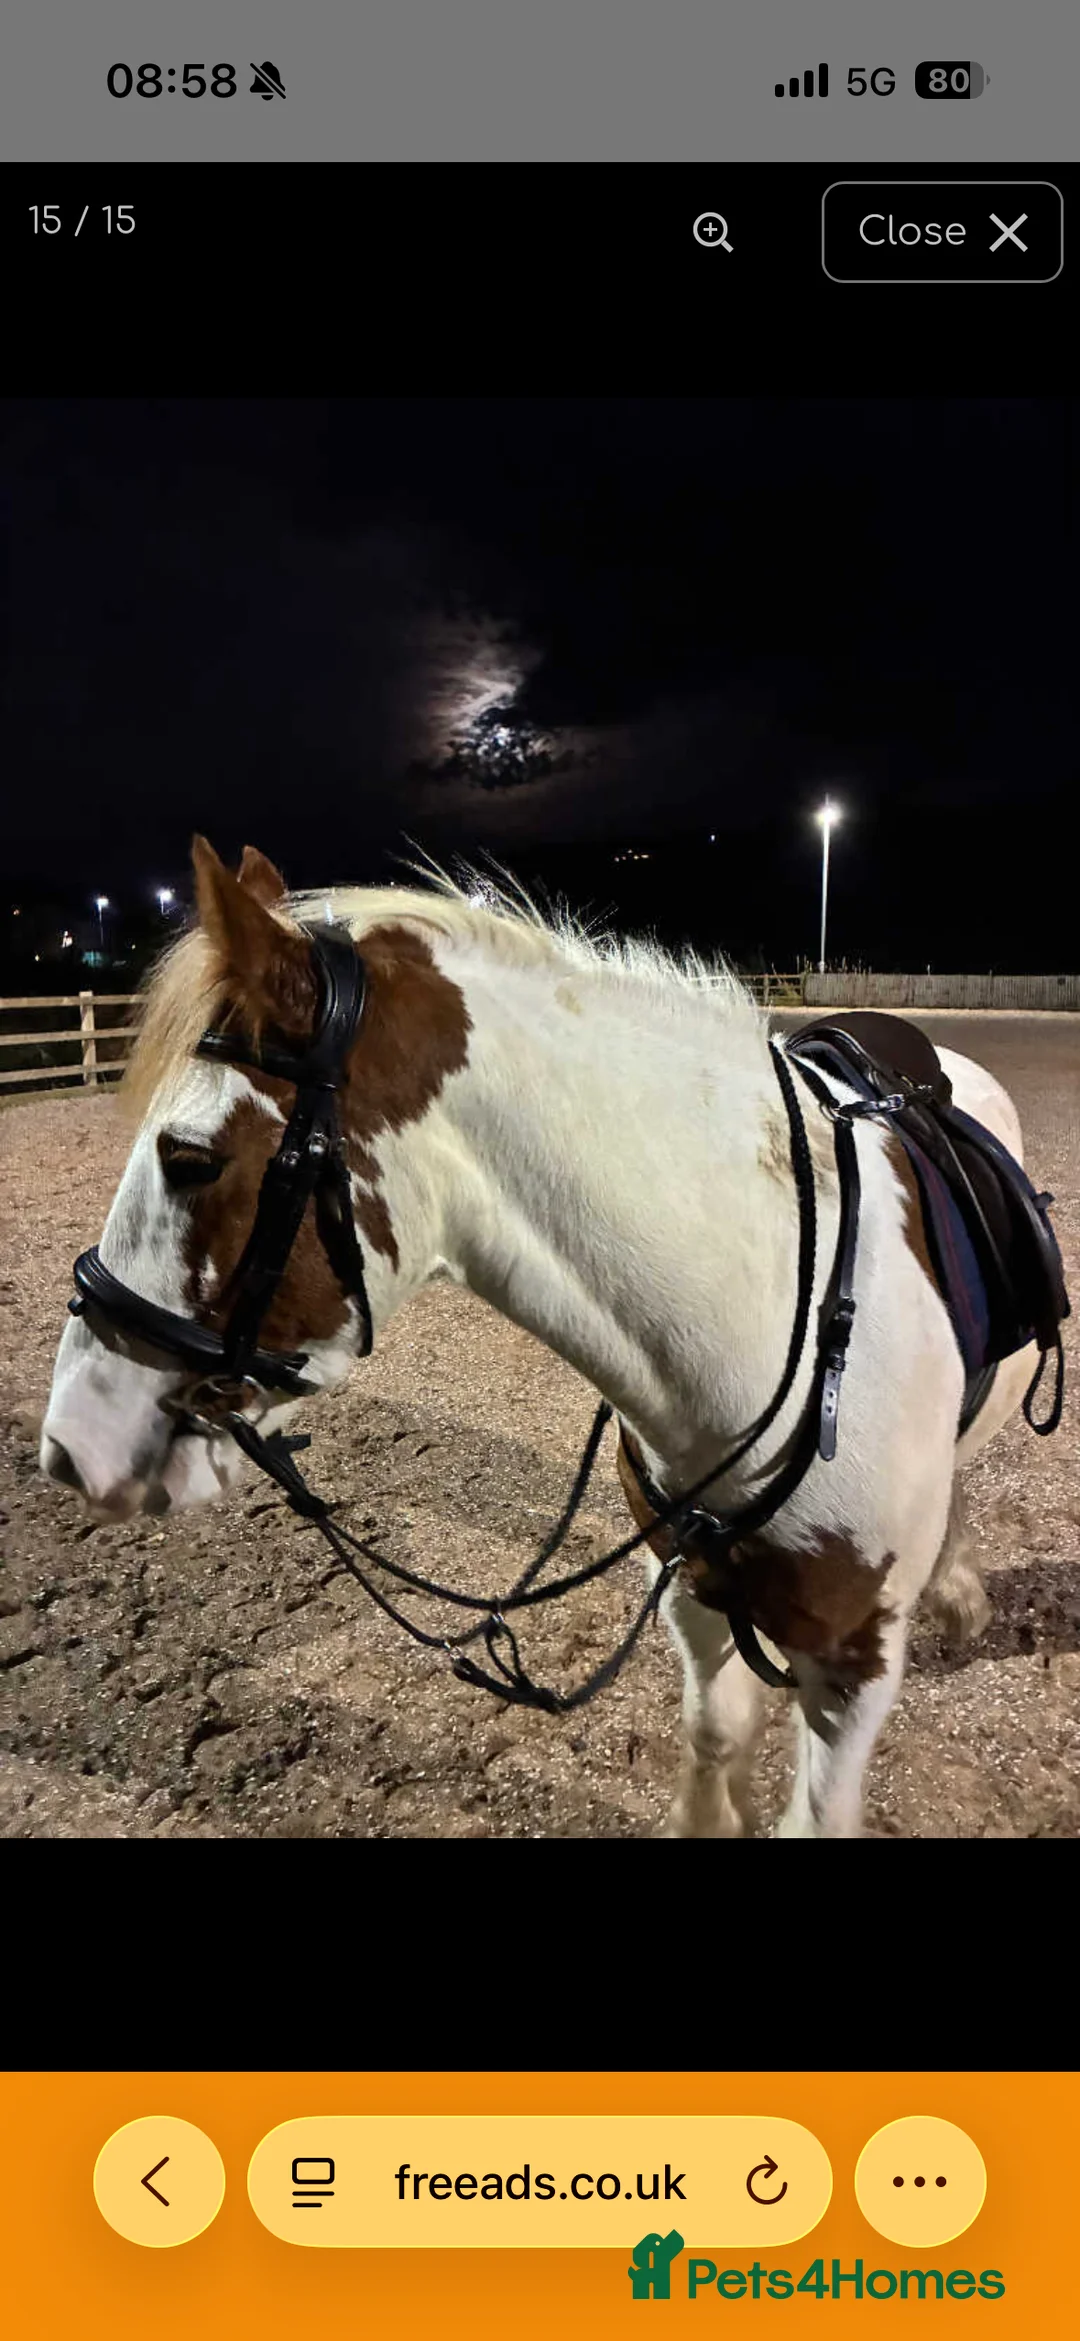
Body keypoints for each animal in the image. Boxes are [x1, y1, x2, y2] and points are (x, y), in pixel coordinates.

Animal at [40, 835, 1040, 1838]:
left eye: (190, 1160)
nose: (68, 1448)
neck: (768, 1324)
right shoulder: (693, 1593)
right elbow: (715, 1733)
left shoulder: (853, 1670)